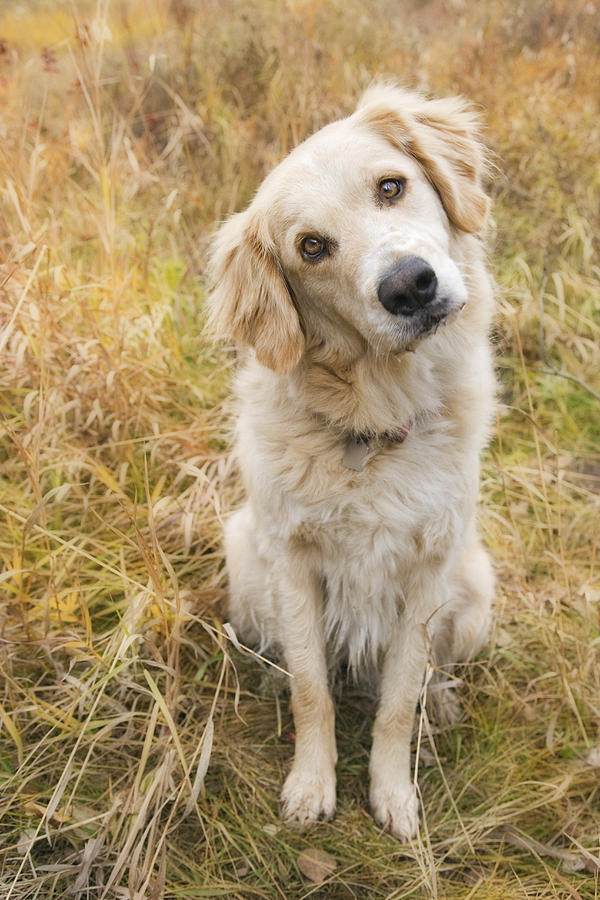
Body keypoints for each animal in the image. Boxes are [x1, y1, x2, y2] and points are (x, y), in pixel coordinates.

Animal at [207, 81, 496, 840]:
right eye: (312, 247)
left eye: (391, 186)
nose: (409, 285)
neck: (374, 425)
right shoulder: (291, 564)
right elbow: (313, 689)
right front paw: (311, 786)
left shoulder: (430, 570)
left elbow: (398, 699)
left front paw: (392, 795)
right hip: (246, 567)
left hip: (476, 589)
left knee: (428, 676)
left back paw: (443, 698)